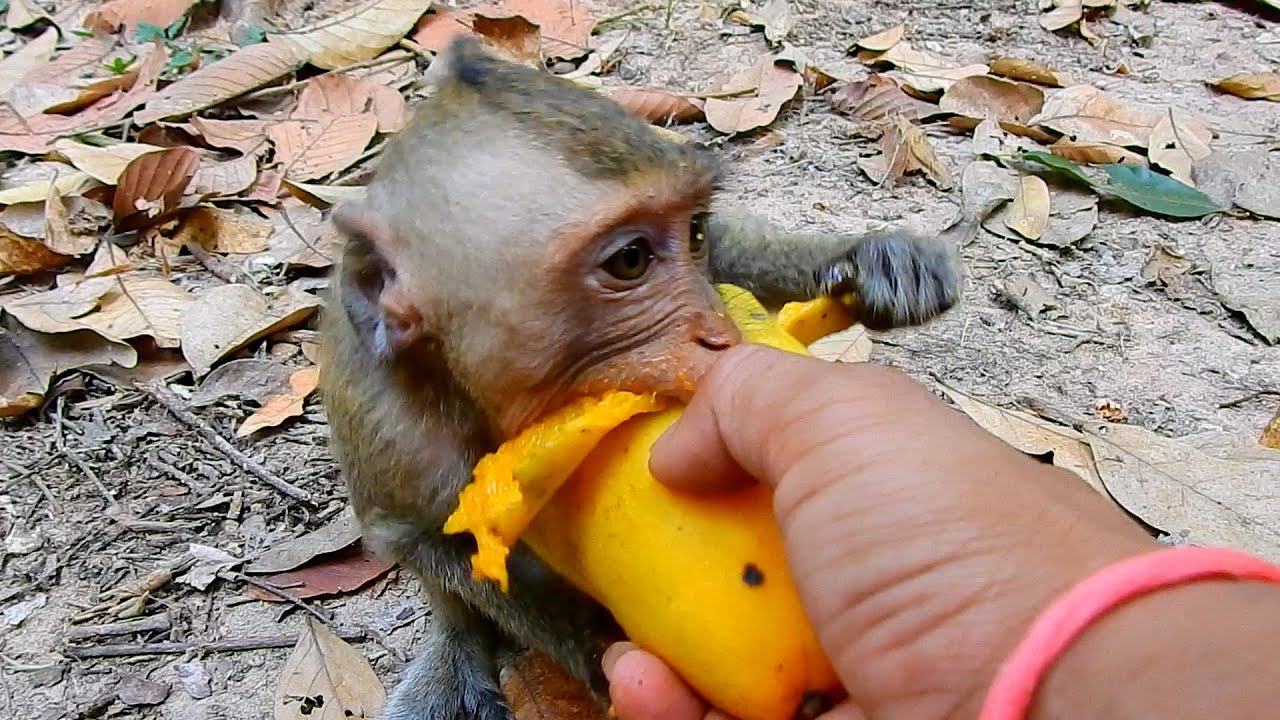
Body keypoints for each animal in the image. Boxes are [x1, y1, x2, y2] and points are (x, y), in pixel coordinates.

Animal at [318, 35, 959, 720]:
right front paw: (595, 646)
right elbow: (428, 540)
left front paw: (867, 261)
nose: (718, 333)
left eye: (693, 231)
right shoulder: (399, 440)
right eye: (630, 259)